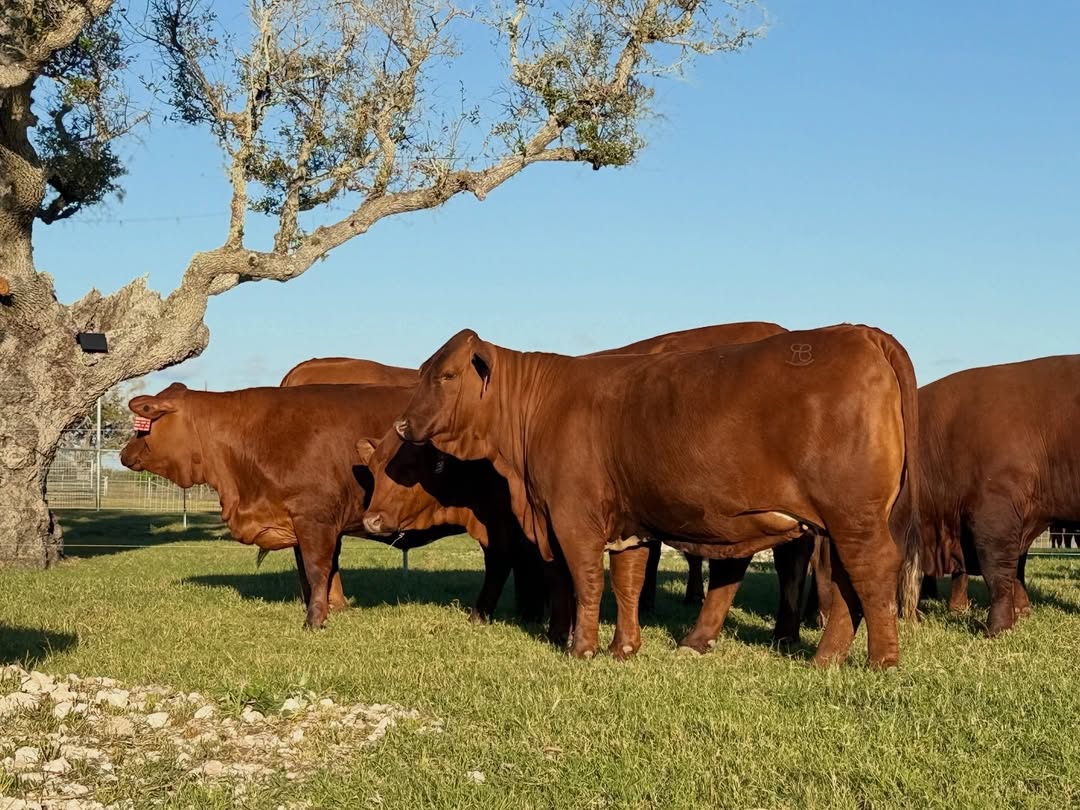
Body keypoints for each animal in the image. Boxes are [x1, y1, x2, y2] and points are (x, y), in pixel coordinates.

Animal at [119, 382, 463, 630]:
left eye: (146, 424)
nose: (124, 453)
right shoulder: (302, 523)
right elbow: (315, 571)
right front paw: (332, 608)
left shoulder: (314, 517)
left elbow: (316, 568)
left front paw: (314, 619)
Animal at [392, 325, 920, 668]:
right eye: (424, 371)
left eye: (447, 376)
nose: (402, 424)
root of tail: (861, 332)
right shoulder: (631, 523)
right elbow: (627, 581)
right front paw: (624, 649)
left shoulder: (572, 517)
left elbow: (586, 579)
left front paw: (581, 648)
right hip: (841, 520)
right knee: (846, 580)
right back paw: (824, 658)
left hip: (853, 514)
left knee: (870, 570)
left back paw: (881, 660)